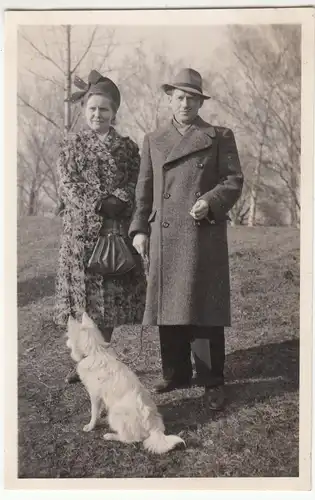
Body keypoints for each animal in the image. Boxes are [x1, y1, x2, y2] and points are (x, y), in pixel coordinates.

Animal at [66, 314, 185, 456]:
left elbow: (94, 414)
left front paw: (90, 426)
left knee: (130, 439)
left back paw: (110, 436)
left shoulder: (94, 395)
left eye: (68, 336)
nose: (66, 343)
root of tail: (154, 427)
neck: (95, 351)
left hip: (115, 414)